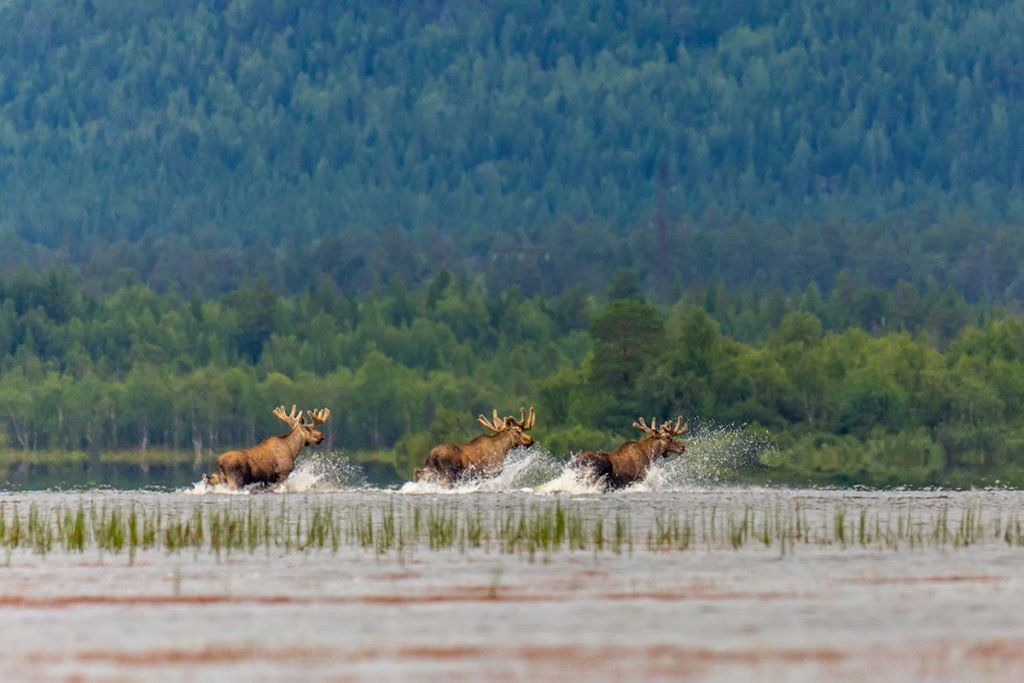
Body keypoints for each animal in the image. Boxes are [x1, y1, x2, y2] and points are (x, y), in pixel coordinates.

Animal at [199, 405, 327, 491]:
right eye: (308, 428)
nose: (321, 436)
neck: (293, 450)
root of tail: (219, 462)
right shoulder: (282, 474)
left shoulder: (268, 480)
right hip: (235, 480)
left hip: (218, 477)